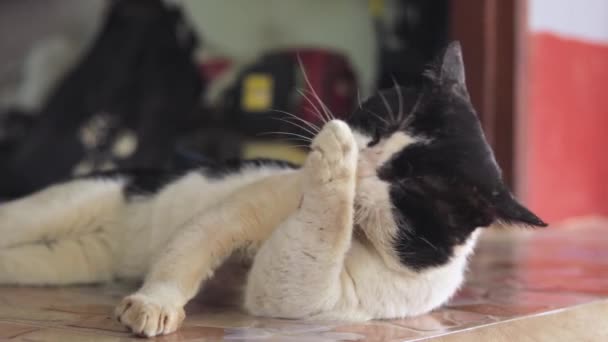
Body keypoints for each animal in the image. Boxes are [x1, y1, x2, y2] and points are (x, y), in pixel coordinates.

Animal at [0, 42, 544, 336]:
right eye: (380, 126)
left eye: (405, 183)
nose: (363, 158)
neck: (358, 234)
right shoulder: (237, 211)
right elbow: (187, 254)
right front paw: (155, 305)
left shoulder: (307, 300)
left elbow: (305, 252)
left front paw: (335, 162)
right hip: (64, 207)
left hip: (56, 263)